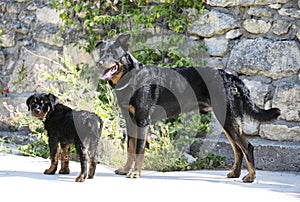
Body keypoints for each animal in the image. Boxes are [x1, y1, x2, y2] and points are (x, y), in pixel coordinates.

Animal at [96, 34, 282, 183]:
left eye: (112, 53)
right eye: (101, 52)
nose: (98, 63)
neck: (131, 78)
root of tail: (230, 76)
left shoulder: (142, 121)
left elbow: (139, 150)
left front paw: (134, 173)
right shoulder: (130, 121)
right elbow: (130, 148)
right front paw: (126, 169)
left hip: (229, 119)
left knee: (247, 147)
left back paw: (250, 177)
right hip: (227, 120)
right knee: (237, 149)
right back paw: (235, 173)